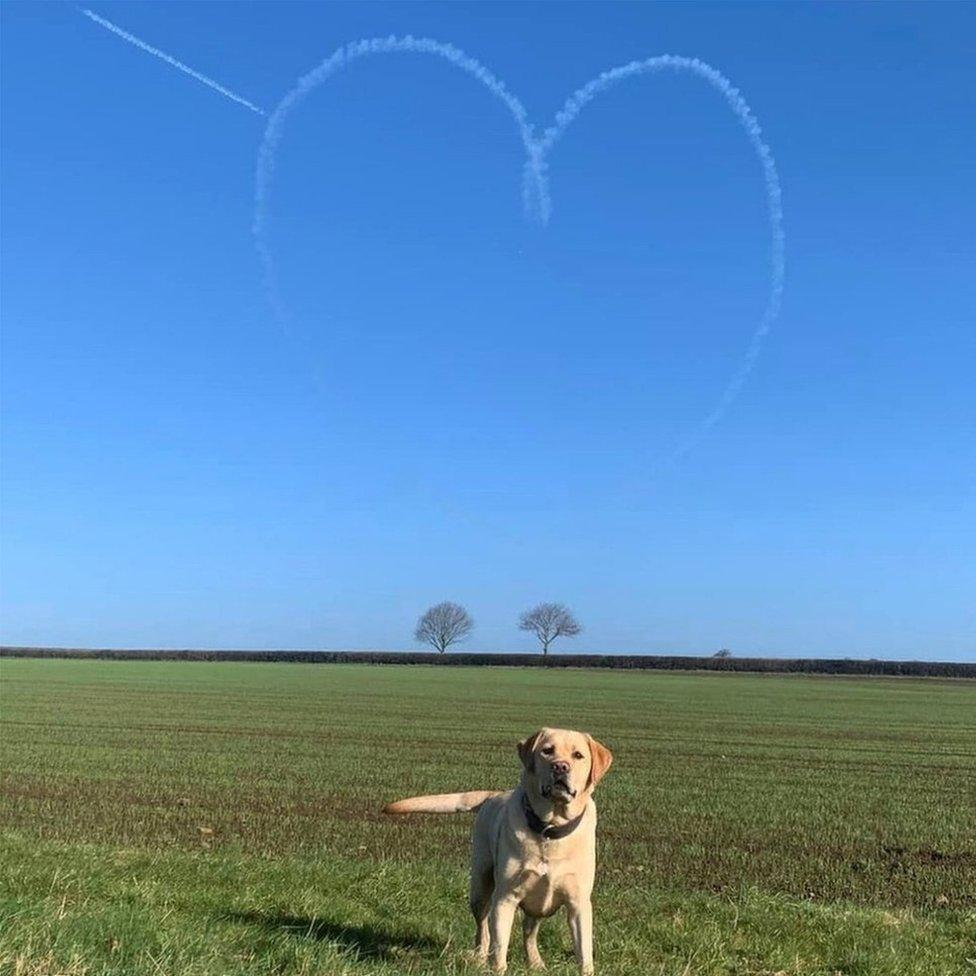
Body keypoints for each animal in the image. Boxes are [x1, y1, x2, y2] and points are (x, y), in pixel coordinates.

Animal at [382, 728, 608, 972]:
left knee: (529, 929)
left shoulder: (579, 904)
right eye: (547, 751)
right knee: (483, 929)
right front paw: (496, 967)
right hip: (480, 886)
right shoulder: (505, 898)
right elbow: (499, 948)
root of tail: (493, 794)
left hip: (537, 900)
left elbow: (584, 953)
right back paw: (481, 957)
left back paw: (535, 962)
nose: (560, 767)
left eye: (578, 755)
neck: (549, 830)